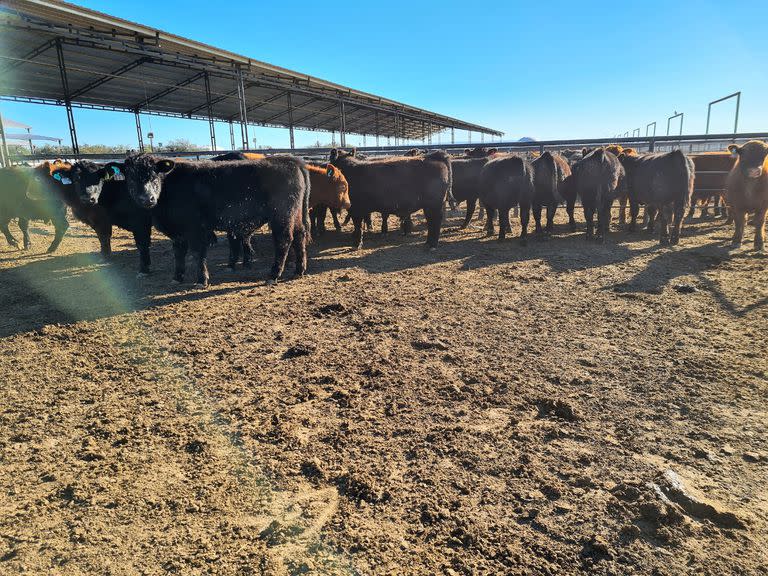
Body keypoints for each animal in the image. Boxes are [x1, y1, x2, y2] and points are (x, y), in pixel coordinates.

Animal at [118, 154, 308, 286]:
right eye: (131, 178)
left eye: (155, 175)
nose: (147, 199)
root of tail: (290, 160)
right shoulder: (178, 232)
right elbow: (178, 253)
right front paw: (177, 277)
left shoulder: (195, 228)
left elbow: (197, 253)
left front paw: (201, 280)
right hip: (295, 214)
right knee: (299, 236)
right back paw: (299, 270)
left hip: (281, 215)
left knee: (284, 240)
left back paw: (273, 275)